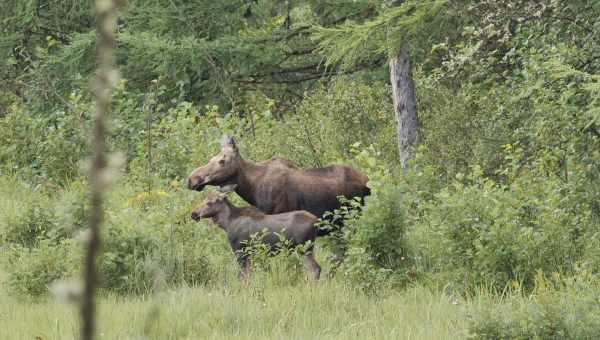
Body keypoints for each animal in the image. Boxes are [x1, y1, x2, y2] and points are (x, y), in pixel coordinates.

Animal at [192, 190, 324, 280]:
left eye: (209, 202)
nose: (194, 214)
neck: (227, 223)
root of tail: (316, 222)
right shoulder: (250, 253)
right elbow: (248, 274)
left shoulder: (240, 250)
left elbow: (242, 276)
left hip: (304, 248)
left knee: (315, 269)